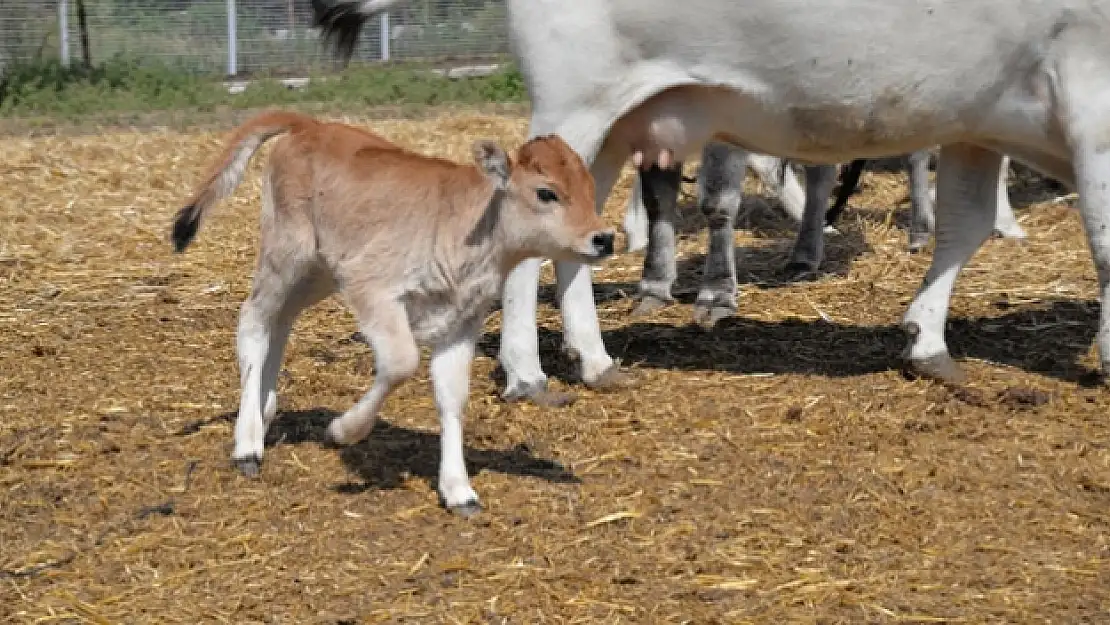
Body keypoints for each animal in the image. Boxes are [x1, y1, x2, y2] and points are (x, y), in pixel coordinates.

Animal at [170, 109, 617, 515]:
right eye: (546, 192)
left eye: (589, 187)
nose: (604, 238)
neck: (459, 225)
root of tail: (309, 124)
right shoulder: (374, 289)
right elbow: (401, 363)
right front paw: (343, 430)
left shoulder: (461, 323)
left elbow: (452, 397)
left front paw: (459, 490)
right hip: (285, 253)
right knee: (253, 320)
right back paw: (247, 444)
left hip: (318, 271)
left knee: (279, 322)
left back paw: (264, 412)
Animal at [313, 0, 1110, 401]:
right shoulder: (1091, 91)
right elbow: (1102, 239)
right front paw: (1103, 356)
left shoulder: (981, 116)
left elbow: (964, 228)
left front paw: (927, 339)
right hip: (576, 98)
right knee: (527, 245)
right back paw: (527, 374)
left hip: (614, 124)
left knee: (574, 239)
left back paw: (594, 360)